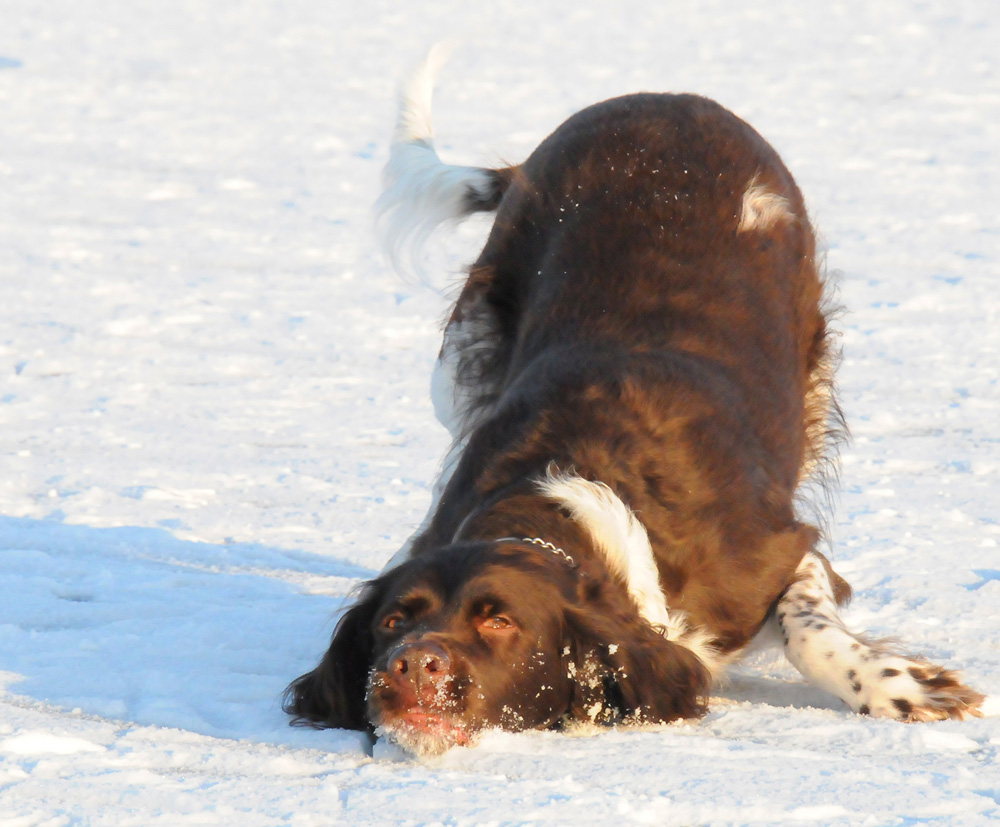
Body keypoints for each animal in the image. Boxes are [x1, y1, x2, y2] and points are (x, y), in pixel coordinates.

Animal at [284, 53, 984, 756]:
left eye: (500, 621)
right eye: (393, 621)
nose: (409, 664)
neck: (565, 491)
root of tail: (659, 97)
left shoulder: (780, 551)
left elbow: (809, 627)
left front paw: (909, 690)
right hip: (457, 365)